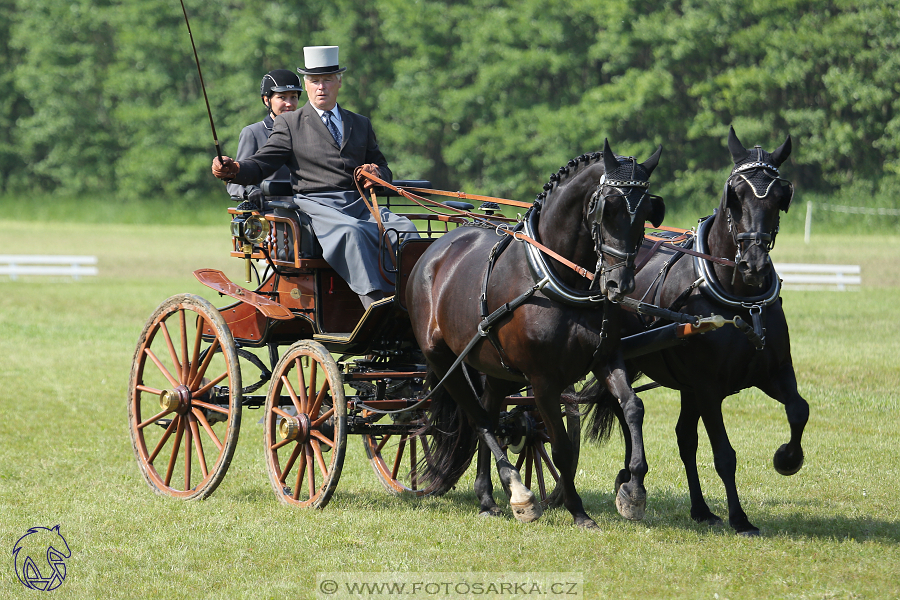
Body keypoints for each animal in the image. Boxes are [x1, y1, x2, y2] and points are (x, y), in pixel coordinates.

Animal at [408, 142, 668, 528]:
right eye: (607, 208)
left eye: (646, 213)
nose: (619, 285)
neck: (557, 277)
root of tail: (435, 251)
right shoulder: (544, 381)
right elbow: (561, 449)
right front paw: (578, 511)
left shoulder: (606, 358)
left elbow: (633, 407)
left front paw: (633, 489)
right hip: (442, 361)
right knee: (479, 419)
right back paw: (519, 492)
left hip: (495, 367)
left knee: (489, 412)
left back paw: (487, 497)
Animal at [584, 126, 808, 536]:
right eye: (735, 194)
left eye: (780, 196)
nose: (753, 264)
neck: (741, 299)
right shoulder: (707, 387)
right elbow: (724, 454)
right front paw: (740, 518)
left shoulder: (773, 371)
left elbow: (799, 410)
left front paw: (787, 458)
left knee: (680, 436)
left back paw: (695, 506)